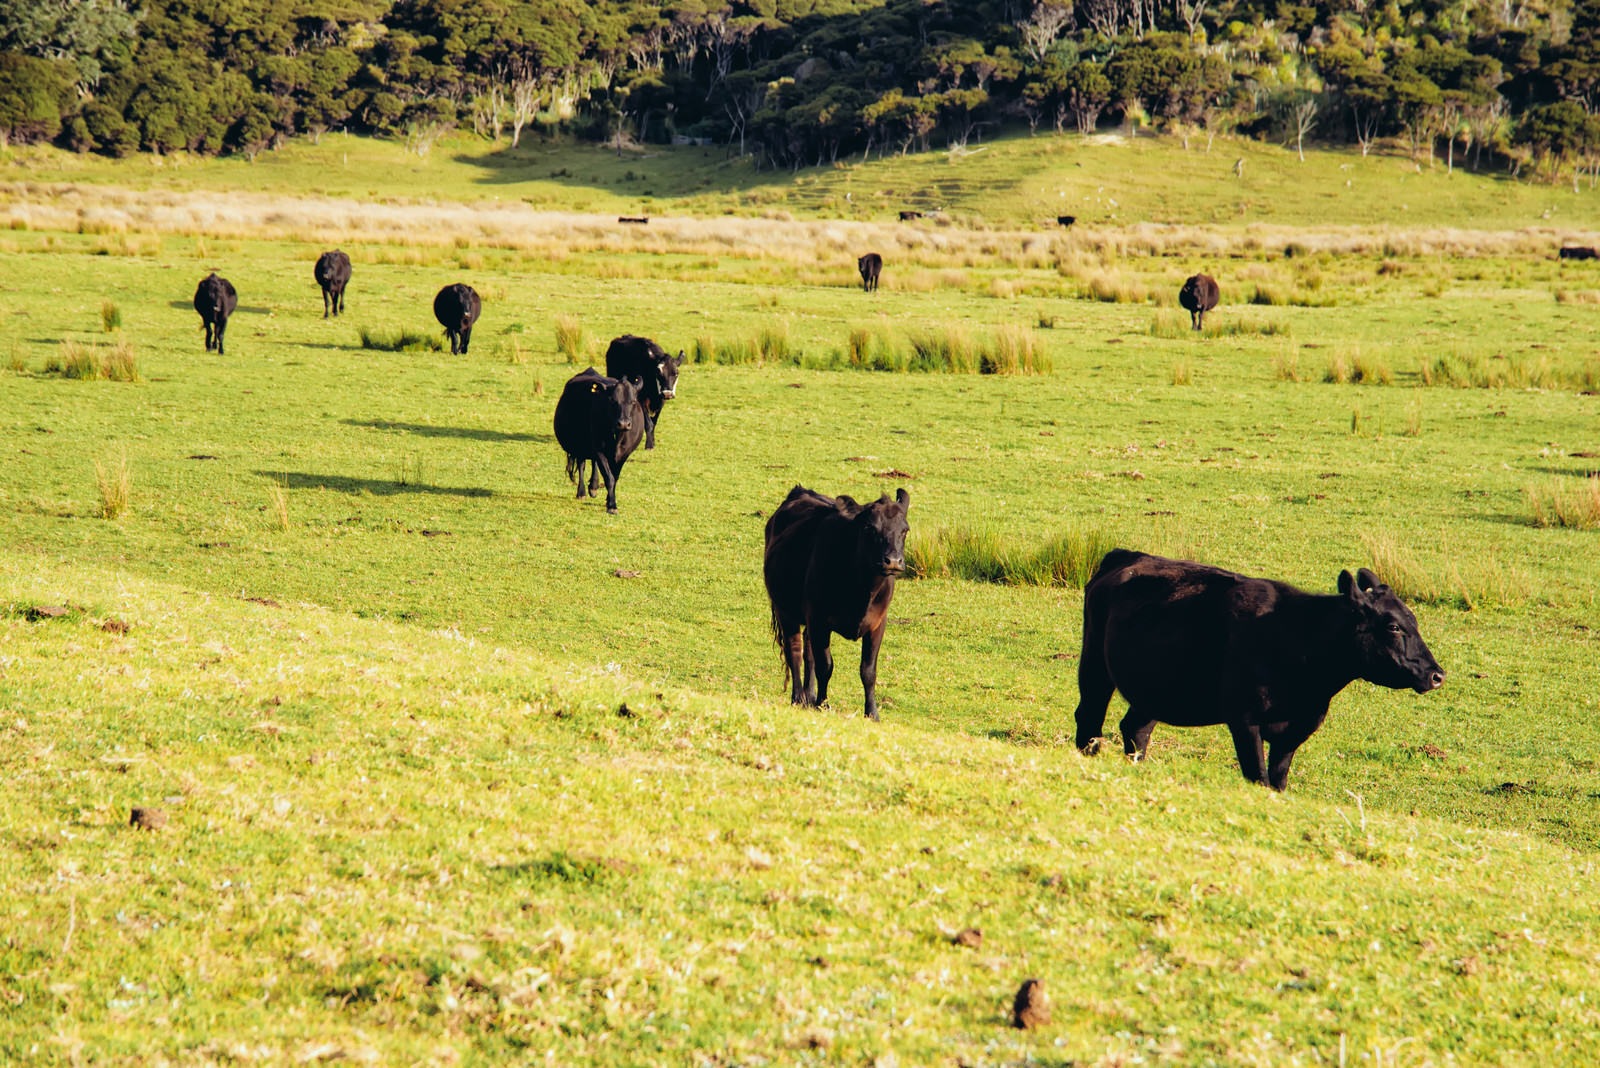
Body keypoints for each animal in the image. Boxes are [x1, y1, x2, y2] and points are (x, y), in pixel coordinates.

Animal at [553, 369, 646, 514]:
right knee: (582, 465)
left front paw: (608, 500)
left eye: (633, 401)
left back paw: (593, 486)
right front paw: (612, 505)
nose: (624, 424)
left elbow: (615, 477)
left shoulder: (624, 454)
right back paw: (582, 492)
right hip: (581, 446)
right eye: (612, 400)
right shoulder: (599, 449)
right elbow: (609, 478)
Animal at [764, 486, 915, 722]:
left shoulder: (878, 623)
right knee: (795, 651)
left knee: (808, 652)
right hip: (785, 610)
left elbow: (868, 671)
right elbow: (825, 666)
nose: (893, 561)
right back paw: (799, 698)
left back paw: (809, 696)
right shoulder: (819, 619)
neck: (862, 591)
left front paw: (872, 713)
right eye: (869, 528)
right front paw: (823, 705)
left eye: (904, 530)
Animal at [1068, 549, 1446, 793]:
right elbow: (1258, 777)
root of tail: (1124, 556)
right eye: (1394, 626)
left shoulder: (1298, 728)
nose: (1436, 674)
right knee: (1089, 717)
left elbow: (1277, 782)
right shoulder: (1244, 718)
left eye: (1414, 621)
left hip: (1156, 689)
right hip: (1094, 667)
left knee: (1135, 728)